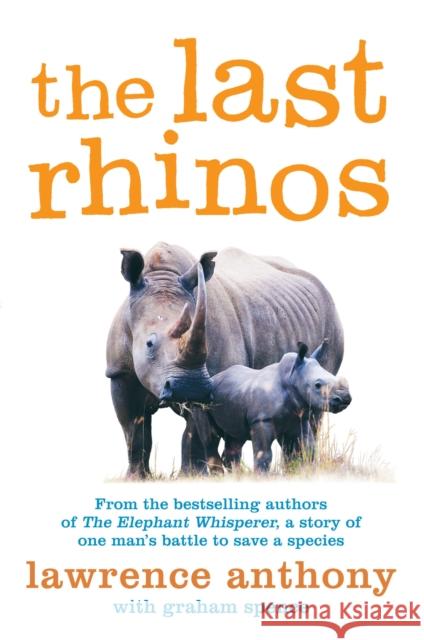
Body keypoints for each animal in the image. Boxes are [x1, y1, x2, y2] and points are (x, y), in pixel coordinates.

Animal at [161, 331, 352, 472]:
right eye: (317, 385)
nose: (345, 399)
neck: (292, 377)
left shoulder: (299, 418)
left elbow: (306, 449)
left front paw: (305, 472)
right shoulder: (261, 420)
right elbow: (264, 454)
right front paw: (261, 476)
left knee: (234, 439)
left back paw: (235, 475)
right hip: (202, 402)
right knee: (210, 438)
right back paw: (219, 475)